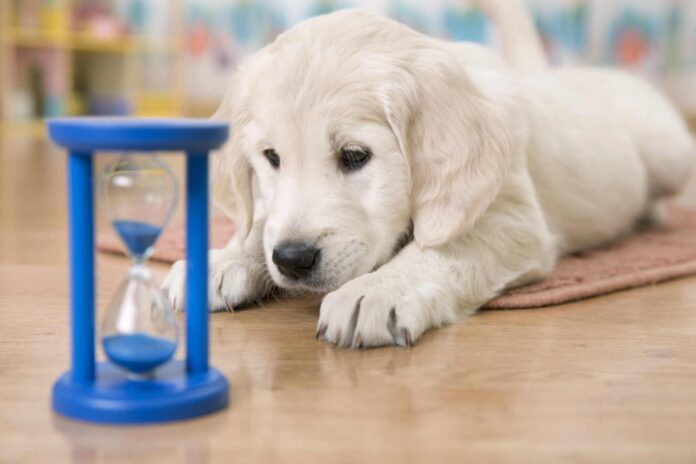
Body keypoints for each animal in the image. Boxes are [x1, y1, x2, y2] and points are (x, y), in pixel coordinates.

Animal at [162, 0, 692, 348]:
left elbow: (446, 249)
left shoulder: (515, 219)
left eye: (354, 155)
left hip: (670, 149)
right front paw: (221, 259)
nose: (293, 260)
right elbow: (262, 224)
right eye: (271, 157)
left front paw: (377, 291)